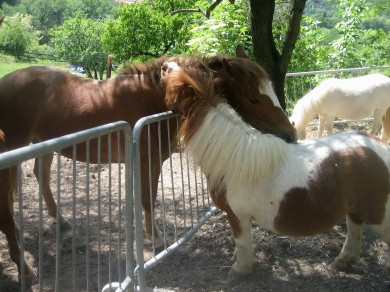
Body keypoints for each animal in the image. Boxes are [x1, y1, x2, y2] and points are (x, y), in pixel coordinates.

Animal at [165, 68, 390, 278]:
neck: (235, 158)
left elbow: (242, 243)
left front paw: (239, 270)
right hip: (356, 210)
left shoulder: (237, 215)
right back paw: (341, 262)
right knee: (354, 233)